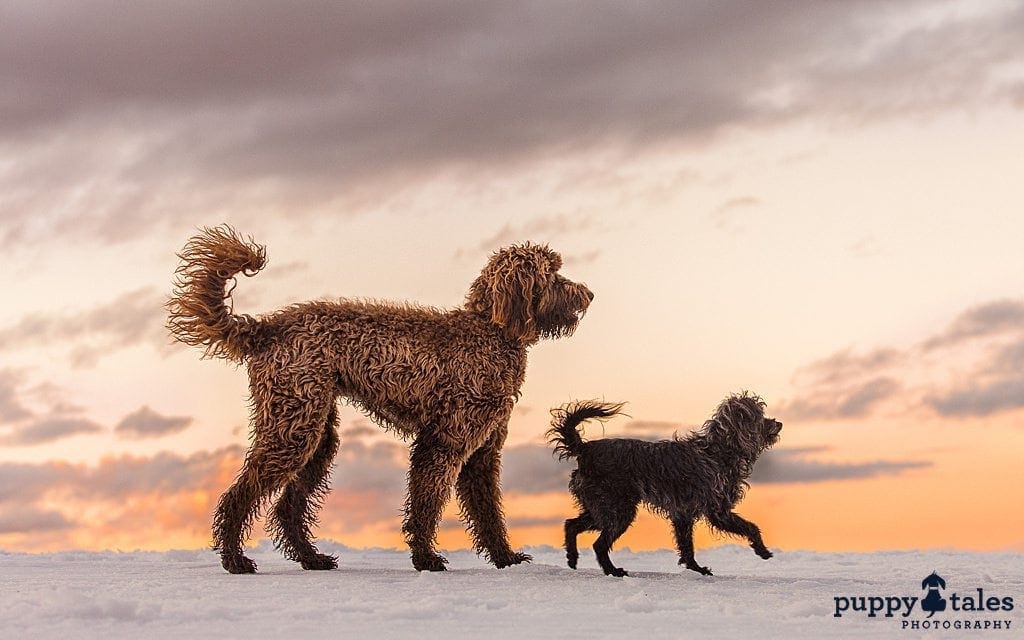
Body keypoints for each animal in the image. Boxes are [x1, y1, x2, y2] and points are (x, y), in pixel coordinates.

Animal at [167, 226, 593, 573]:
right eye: (553, 275)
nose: (589, 294)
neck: (490, 330)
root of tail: (268, 327)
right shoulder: (445, 442)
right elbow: (426, 503)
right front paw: (426, 558)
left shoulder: (482, 451)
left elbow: (488, 510)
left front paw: (505, 558)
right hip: (292, 429)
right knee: (239, 496)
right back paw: (235, 559)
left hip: (316, 433)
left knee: (288, 506)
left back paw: (311, 558)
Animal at [552, 391, 774, 577]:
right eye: (760, 418)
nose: (777, 423)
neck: (716, 452)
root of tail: (584, 450)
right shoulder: (717, 511)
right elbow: (751, 527)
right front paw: (762, 549)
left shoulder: (683, 514)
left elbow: (687, 546)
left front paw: (696, 569)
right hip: (618, 510)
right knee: (599, 544)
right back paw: (613, 571)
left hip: (600, 508)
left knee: (571, 524)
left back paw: (572, 558)